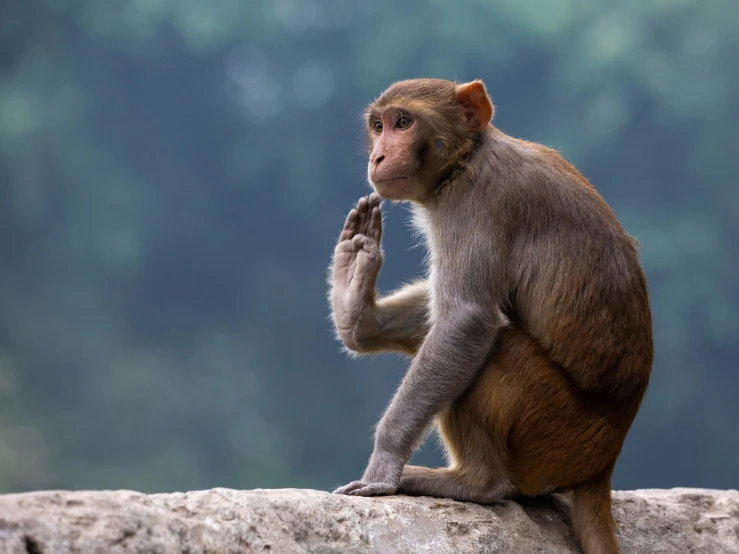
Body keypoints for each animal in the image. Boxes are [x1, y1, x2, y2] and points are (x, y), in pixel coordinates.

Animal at [330, 78, 652, 552]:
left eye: (403, 122)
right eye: (378, 126)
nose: (378, 156)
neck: (467, 159)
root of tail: (604, 462)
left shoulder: (476, 204)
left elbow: (465, 321)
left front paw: (382, 467)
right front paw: (358, 305)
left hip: (557, 435)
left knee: (498, 345)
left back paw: (475, 483)